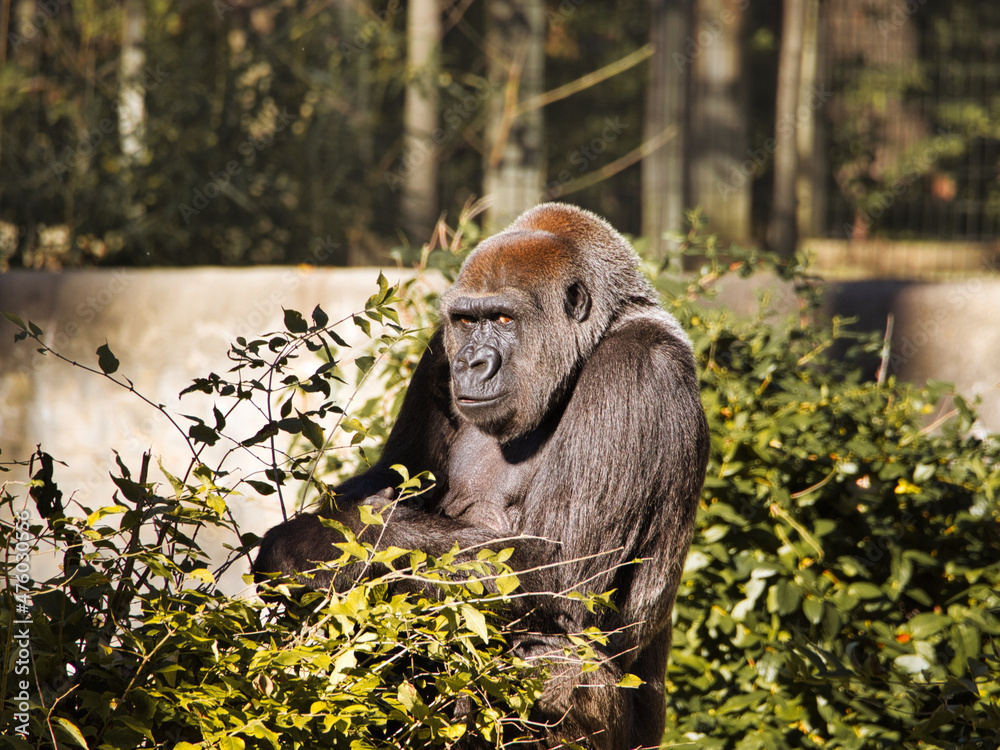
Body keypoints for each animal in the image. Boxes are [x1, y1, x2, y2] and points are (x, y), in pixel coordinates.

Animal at [254, 203, 708, 748]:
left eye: (504, 319)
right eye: (467, 321)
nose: (471, 363)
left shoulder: (637, 368)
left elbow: (558, 571)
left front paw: (310, 544)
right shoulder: (438, 350)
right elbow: (390, 477)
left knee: (552, 659)